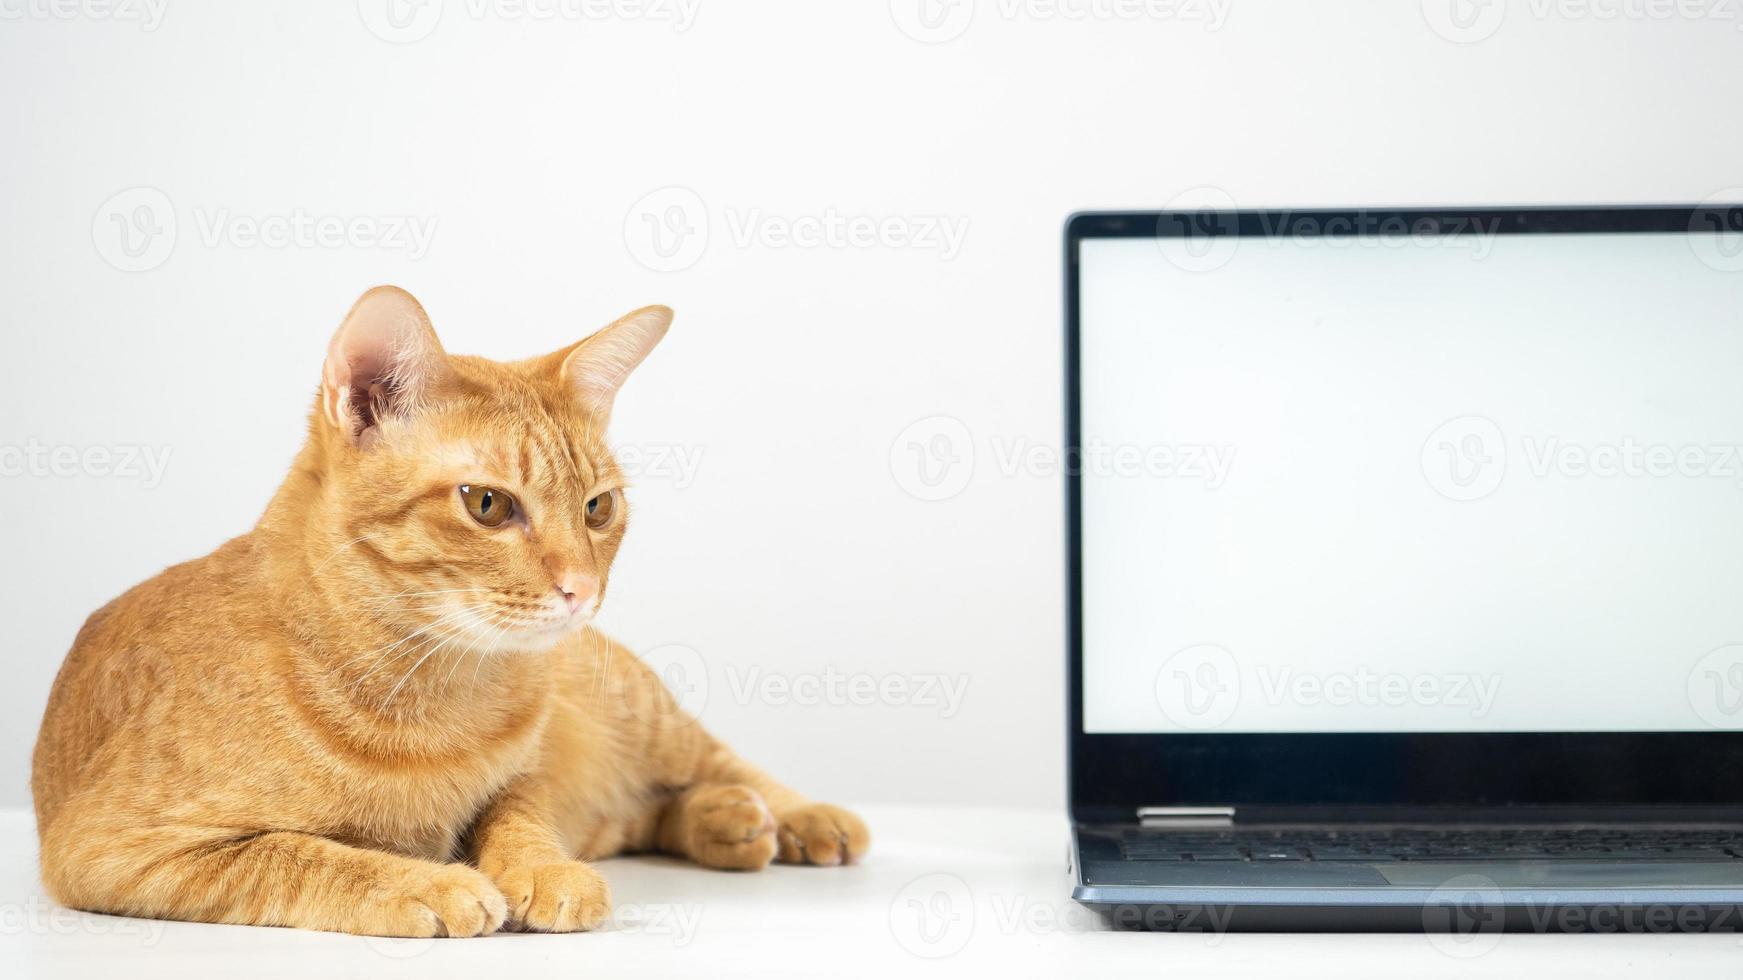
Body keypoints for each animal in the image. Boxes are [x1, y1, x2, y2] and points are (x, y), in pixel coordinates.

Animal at [27, 285, 871, 934]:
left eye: (598, 508)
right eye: (488, 504)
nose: (582, 589)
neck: (428, 691)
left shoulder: (525, 773)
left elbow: (521, 813)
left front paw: (539, 868)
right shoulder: (106, 849)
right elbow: (292, 853)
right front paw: (426, 882)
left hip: (646, 716)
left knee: (718, 764)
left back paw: (795, 818)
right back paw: (727, 823)